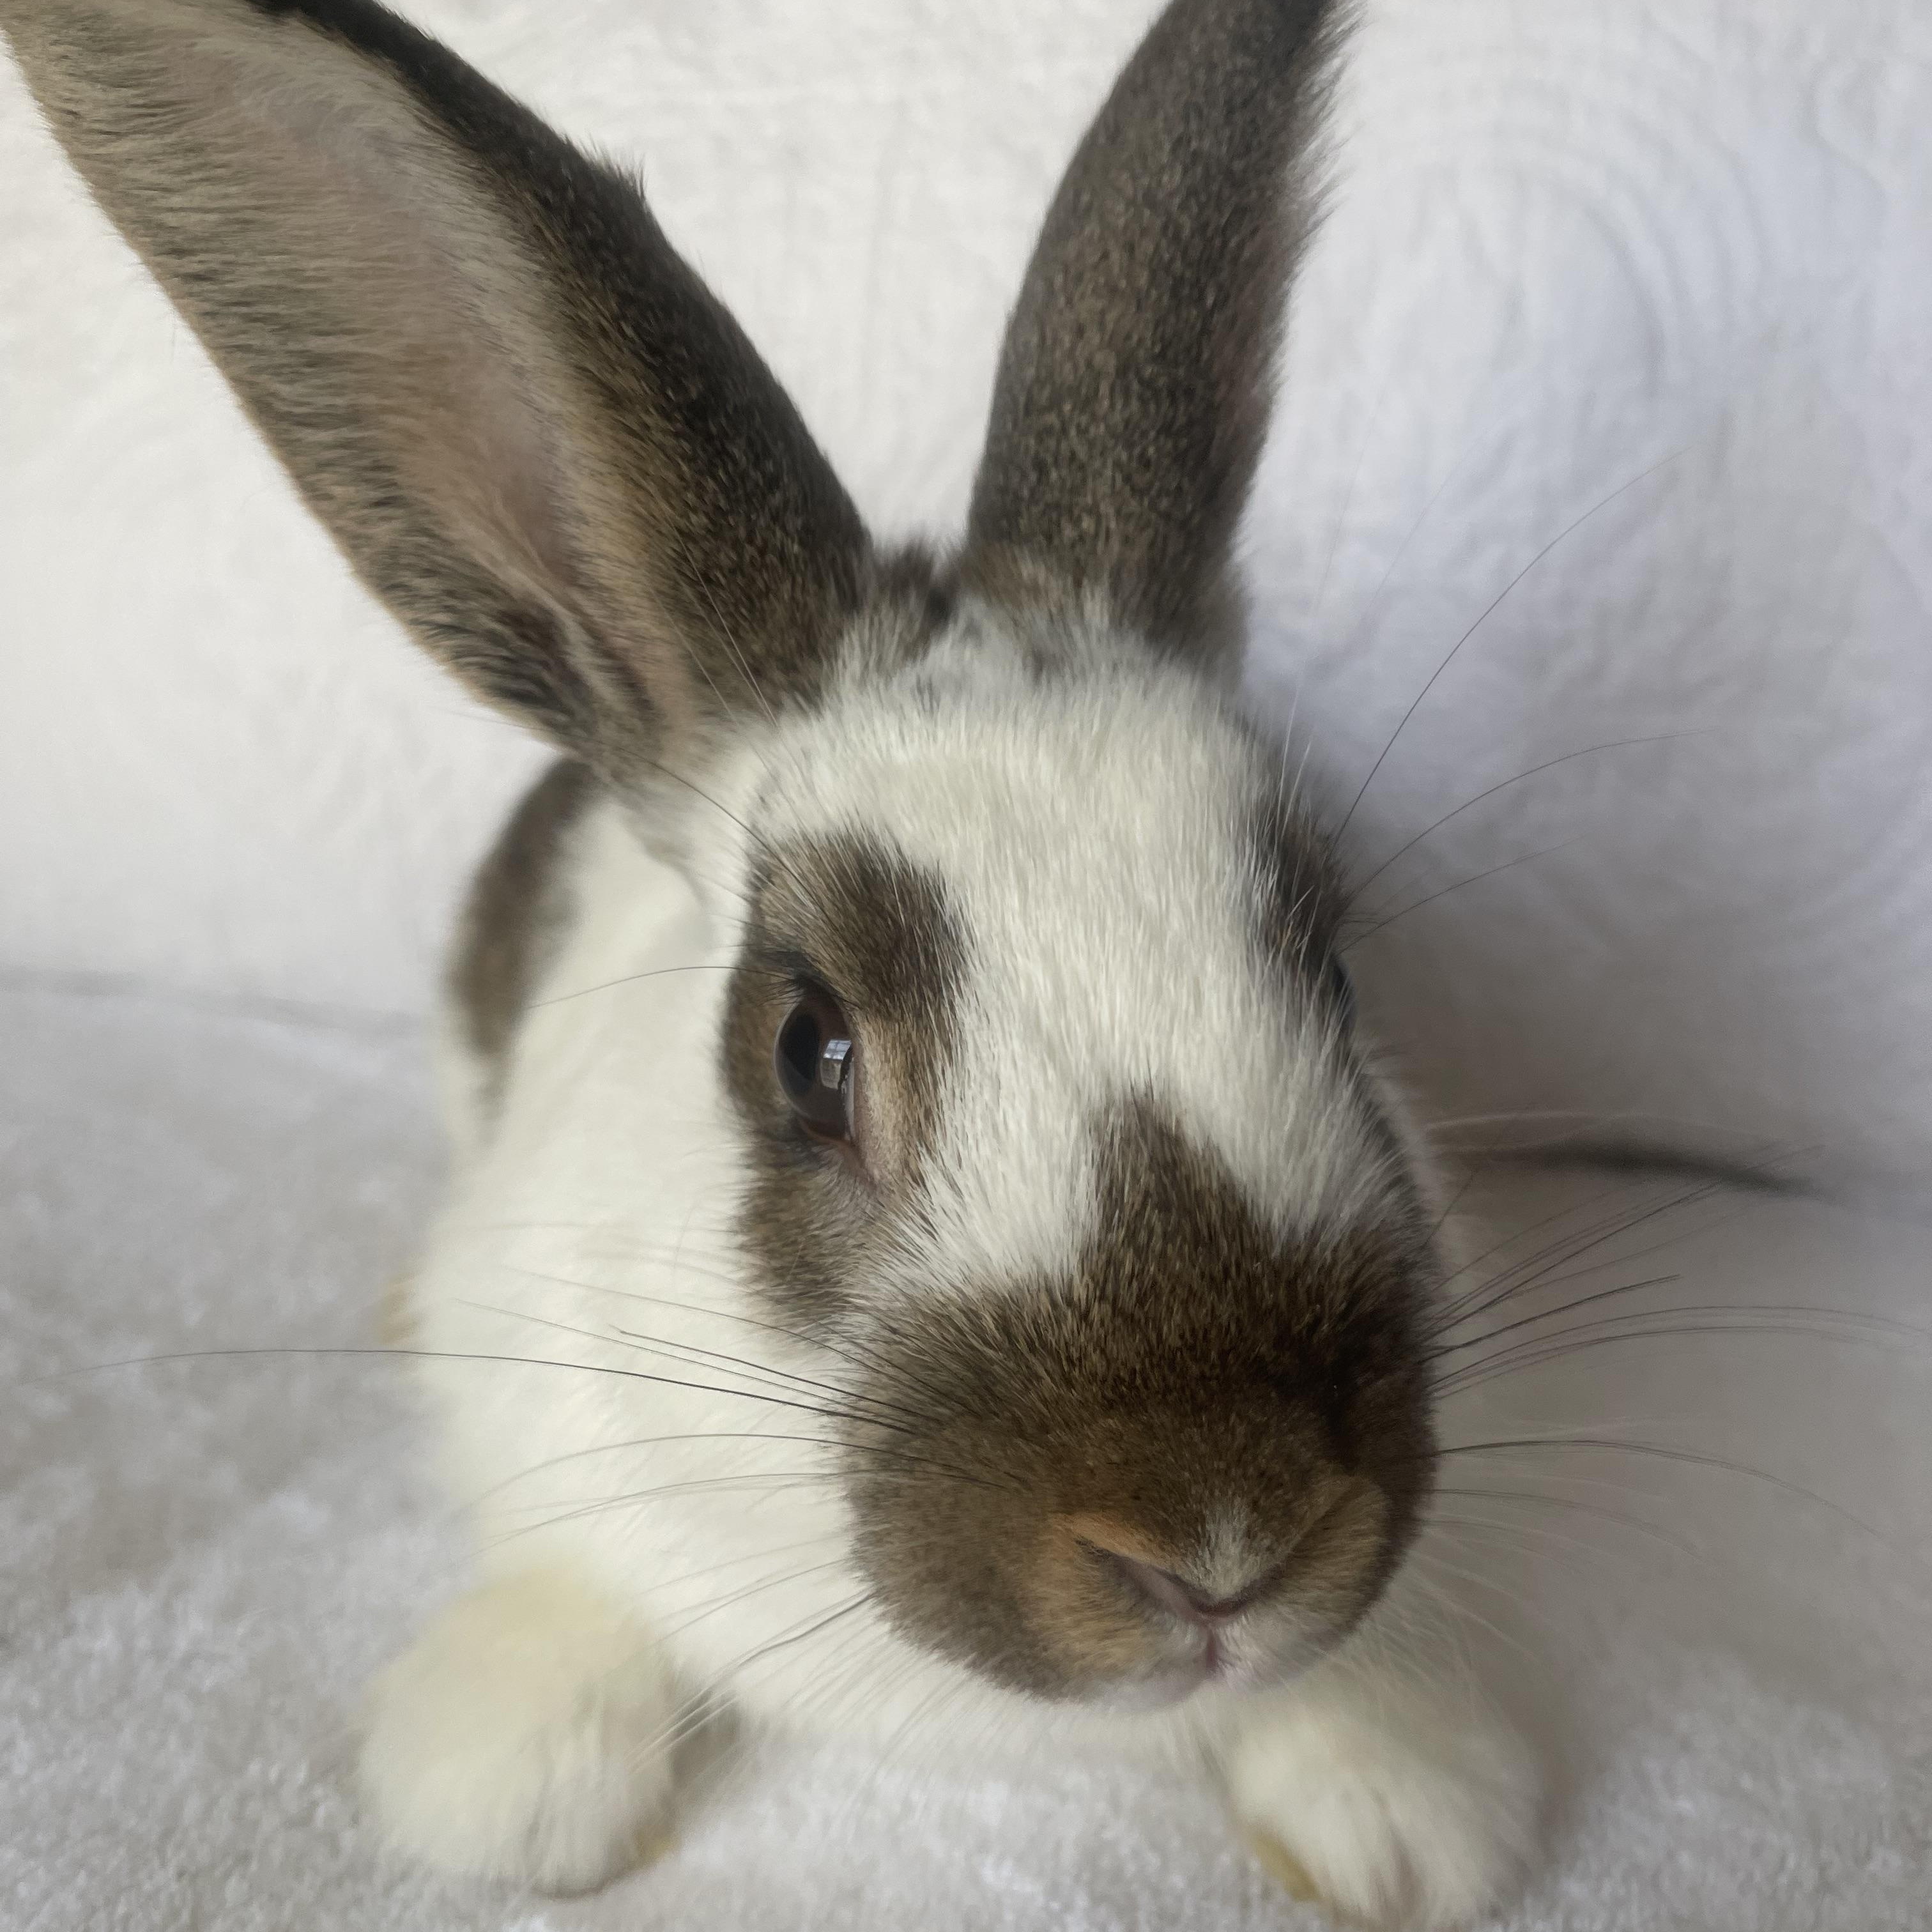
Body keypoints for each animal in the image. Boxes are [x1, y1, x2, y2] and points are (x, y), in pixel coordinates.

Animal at [2, 0, 1540, 1924]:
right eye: (810, 1050)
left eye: (1330, 979)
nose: (1225, 1537)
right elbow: (568, 1580)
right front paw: (507, 1781)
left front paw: (1404, 1797)